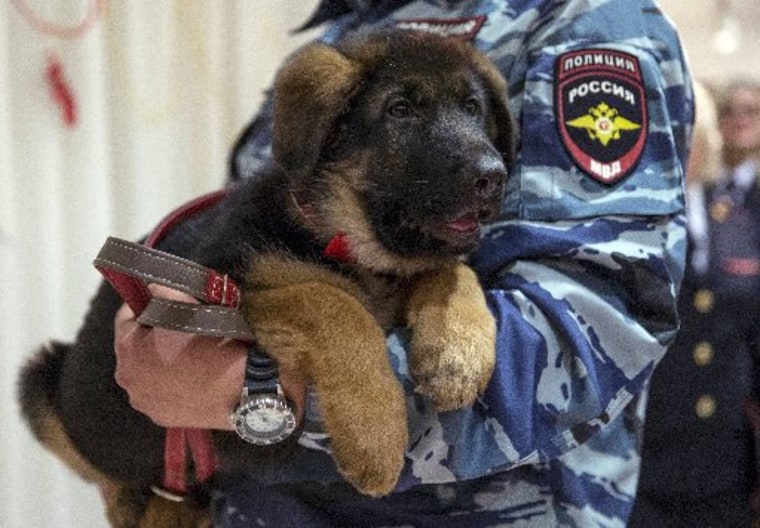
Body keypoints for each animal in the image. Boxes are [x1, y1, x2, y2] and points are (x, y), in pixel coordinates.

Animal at [19, 29, 516, 528]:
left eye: (473, 109)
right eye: (400, 109)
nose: (493, 178)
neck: (342, 236)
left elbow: (451, 269)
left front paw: (457, 354)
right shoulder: (220, 290)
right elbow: (332, 302)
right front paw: (374, 438)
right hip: (38, 382)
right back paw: (137, 501)